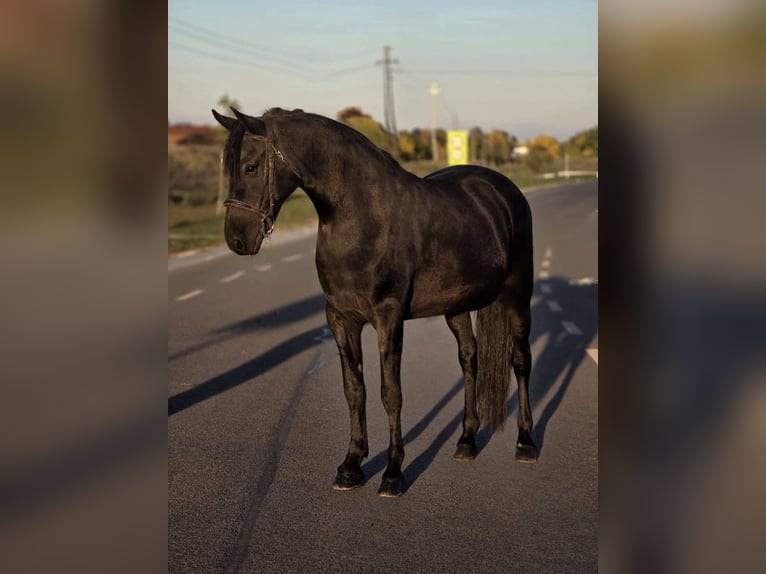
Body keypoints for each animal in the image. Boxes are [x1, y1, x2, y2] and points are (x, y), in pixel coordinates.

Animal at [212, 107, 537, 497]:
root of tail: (503, 189)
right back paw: (466, 442)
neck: (363, 217)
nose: (236, 239)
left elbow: (390, 392)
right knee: (469, 360)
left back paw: (525, 442)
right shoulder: (340, 318)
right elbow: (355, 390)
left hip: (518, 296)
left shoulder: (388, 318)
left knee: (520, 361)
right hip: (456, 307)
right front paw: (351, 465)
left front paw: (393, 473)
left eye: (250, 167)